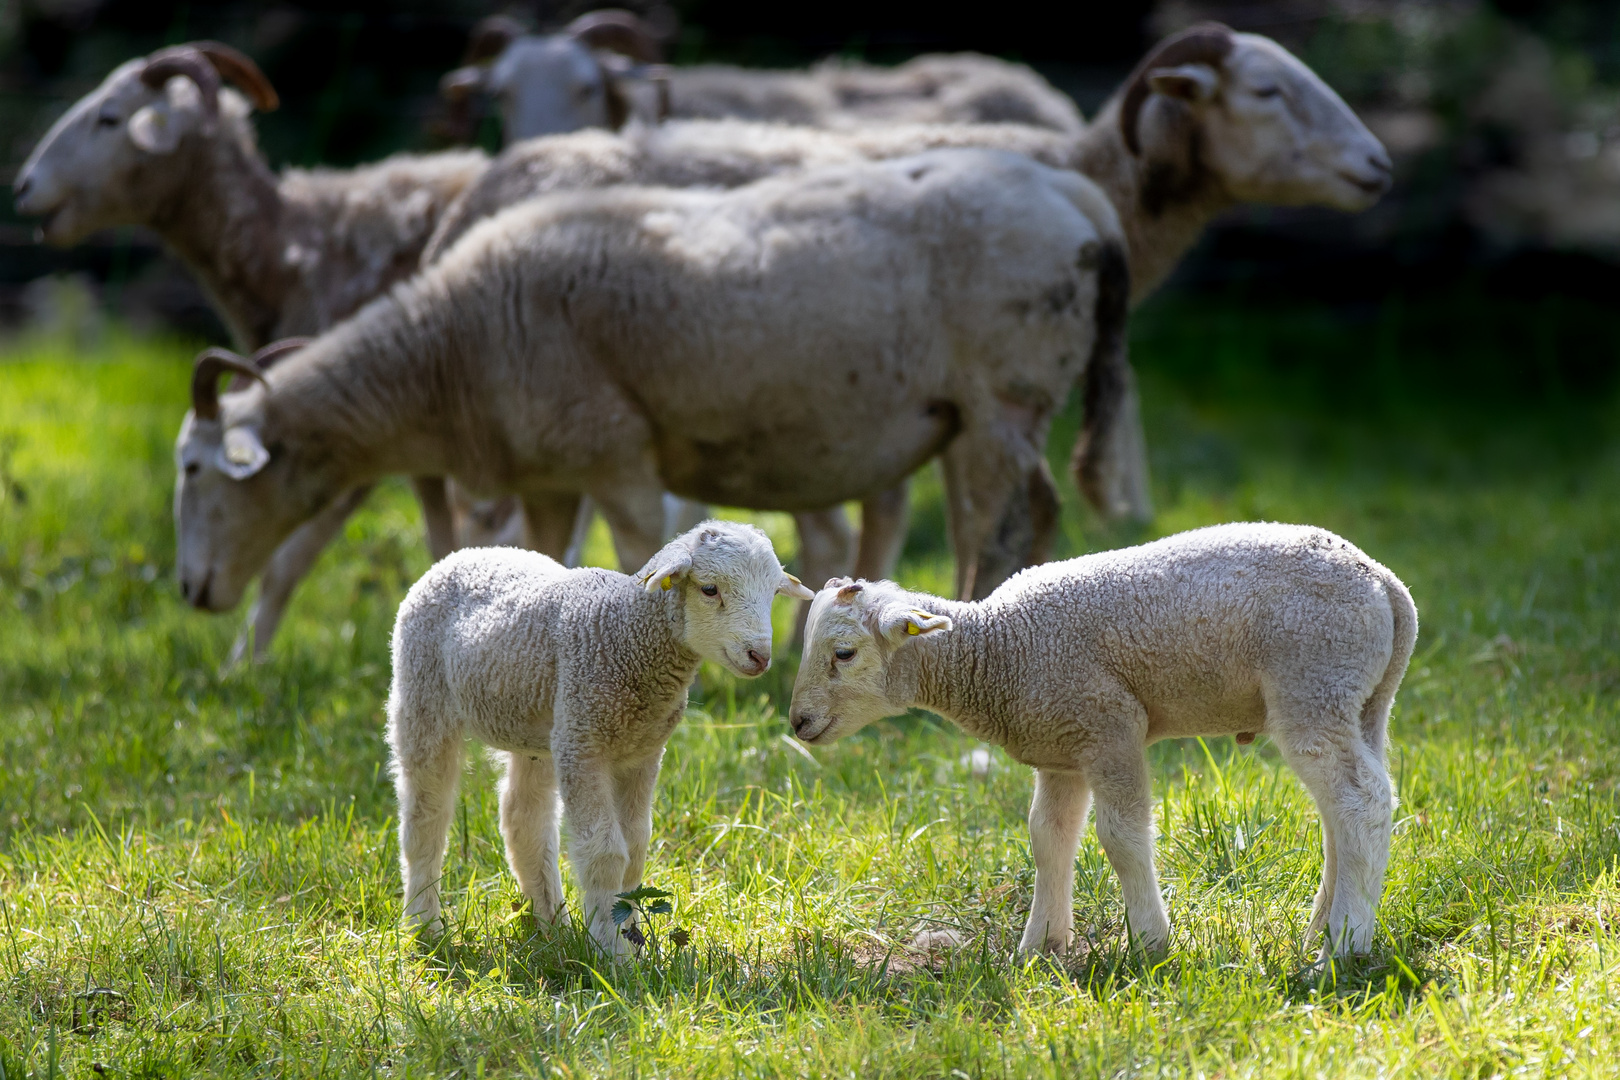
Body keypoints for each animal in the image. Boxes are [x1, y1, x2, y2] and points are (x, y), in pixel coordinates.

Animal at [11, 42, 486, 663]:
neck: (293, 246)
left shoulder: (355, 421)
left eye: (109, 118)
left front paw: (242, 669)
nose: (22, 186)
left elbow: (285, 565)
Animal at [167, 151, 1127, 621]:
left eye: (194, 469)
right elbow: (549, 559)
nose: (188, 592)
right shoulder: (550, 475)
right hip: (991, 410)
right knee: (1029, 512)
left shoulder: (615, 450)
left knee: (996, 522)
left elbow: (642, 551)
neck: (451, 355)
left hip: (1000, 396)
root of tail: (1075, 194)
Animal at [387, 518, 816, 952]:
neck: (626, 632)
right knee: (425, 815)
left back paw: (551, 926)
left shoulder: (642, 750)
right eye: (709, 589)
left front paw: (632, 933)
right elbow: (605, 852)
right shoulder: (585, 745)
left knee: (523, 817)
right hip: (423, 695)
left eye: (774, 592)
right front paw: (611, 948)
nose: (760, 655)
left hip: (540, 726)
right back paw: (423, 924)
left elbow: (636, 845)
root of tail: (464, 554)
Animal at [790, 521, 1412, 952]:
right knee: (1350, 809)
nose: (797, 723)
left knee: (1360, 801)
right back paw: (1322, 930)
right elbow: (1048, 838)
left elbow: (1122, 838)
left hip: (1314, 681)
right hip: (1361, 701)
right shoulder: (1061, 747)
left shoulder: (1109, 724)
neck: (999, 649)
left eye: (844, 654)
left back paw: (1344, 946)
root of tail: (1386, 582)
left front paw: (1152, 944)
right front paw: (1039, 948)